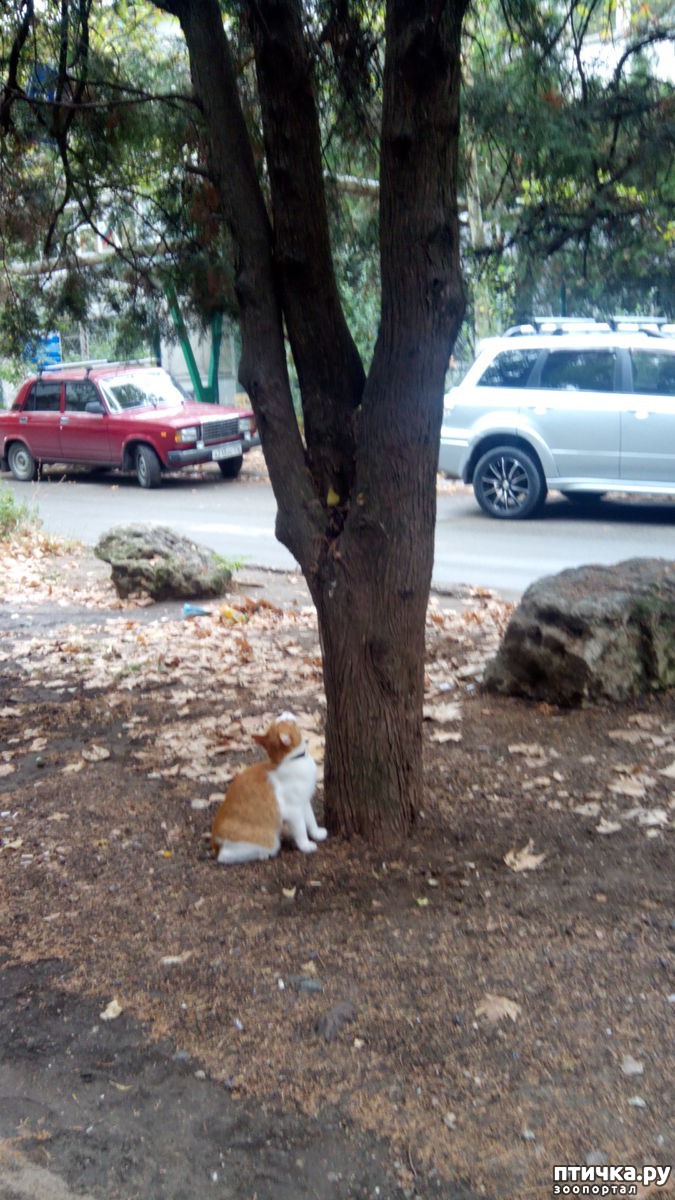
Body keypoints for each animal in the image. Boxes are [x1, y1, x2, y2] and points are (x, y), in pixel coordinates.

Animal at [210, 710, 326, 864]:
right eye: (289, 721)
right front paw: (306, 845)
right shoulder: (293, 810)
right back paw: (263, 854)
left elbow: (311, 820)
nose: (284, 712)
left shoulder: (304, 802)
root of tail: (215, 842)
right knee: (224, 856)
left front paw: (317, 833)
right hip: (269, 840)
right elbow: (301, 829)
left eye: (283, 718)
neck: (289, 761)